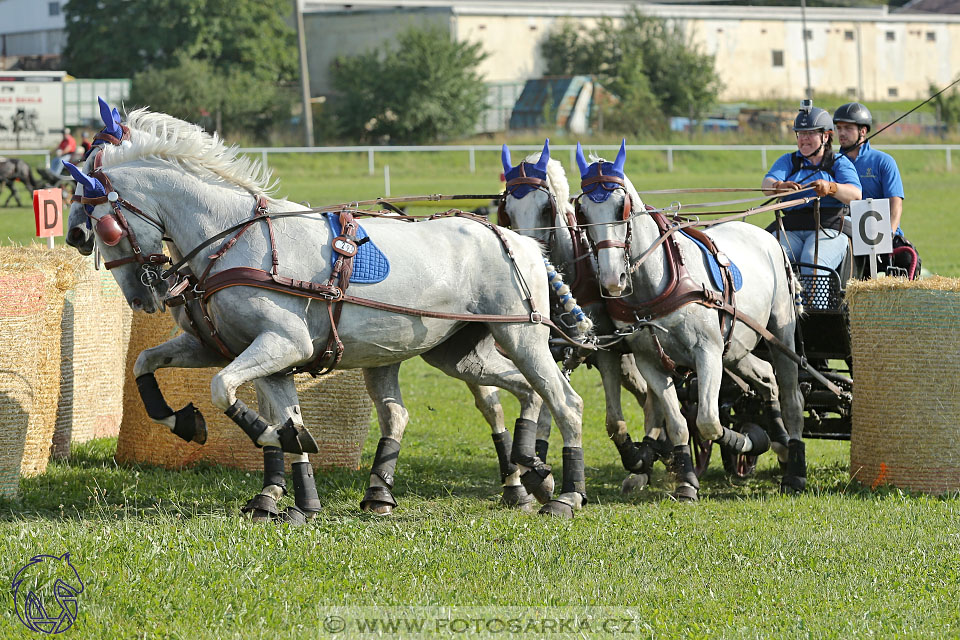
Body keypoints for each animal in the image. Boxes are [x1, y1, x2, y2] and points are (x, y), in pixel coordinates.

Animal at [65, 104, 584, 520]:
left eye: (103, 221)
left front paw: (273, 453)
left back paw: (565, 493)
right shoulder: (242, 351)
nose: (75, 236)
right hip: (456, 353)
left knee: (564, 400)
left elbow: (225, 391)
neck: (233, 237)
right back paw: (524, 473)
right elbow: (149, 365)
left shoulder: (283, 344)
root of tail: (521, 241)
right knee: (520, 393)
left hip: (523, 338)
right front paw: (284, 491)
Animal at [498, 140, 672, 490]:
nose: (530, 256)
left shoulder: (597, 351)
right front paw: (535, 463)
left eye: (546, 208)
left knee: (649, 394)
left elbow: (604, 417)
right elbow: (546, 400)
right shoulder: (551, 349)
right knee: (645, 392)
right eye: (506, 210)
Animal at [572, 141, 808, 500]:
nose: (613, 279)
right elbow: (679, 423)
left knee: (792, 395)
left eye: (621, 207)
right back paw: (780, 444)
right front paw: (685, 478)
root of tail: (769, 239)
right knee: (767, 378)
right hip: (736, 348)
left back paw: (794, 467)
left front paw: (750, 440)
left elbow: (708, 421)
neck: (656, 282)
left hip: (780, 333)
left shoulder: (707, 353)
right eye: (582, 211)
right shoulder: (649, 362)